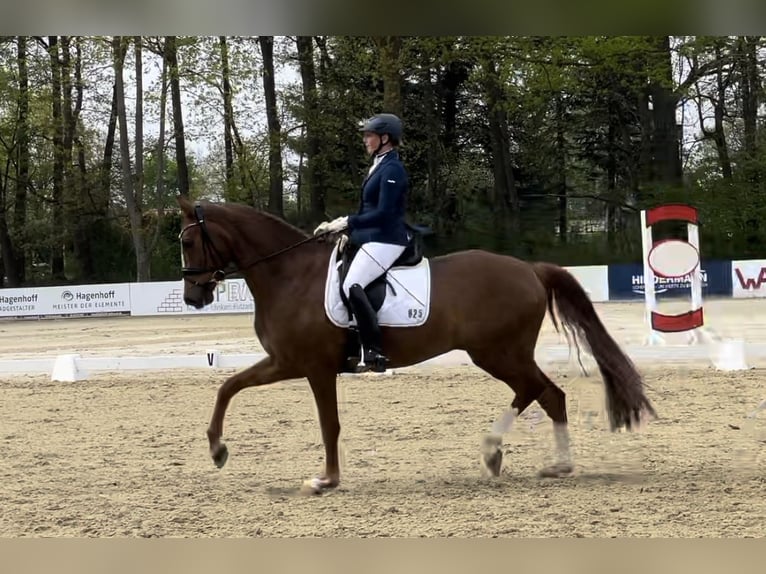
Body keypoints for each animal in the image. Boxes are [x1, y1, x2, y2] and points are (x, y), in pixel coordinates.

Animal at [177, 197, 656, 496]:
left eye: (187, 241)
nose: (192, 298)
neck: (289, 274)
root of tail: (530, 269)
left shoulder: (313, 366)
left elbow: (329, 424)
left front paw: (326, 481)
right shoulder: (285, 361)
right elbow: (227, 386)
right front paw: (217, 450)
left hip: (499, 352)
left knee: (540, 391)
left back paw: (513, 454)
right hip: (502, 353)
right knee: (543, 393)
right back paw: (530, 459)